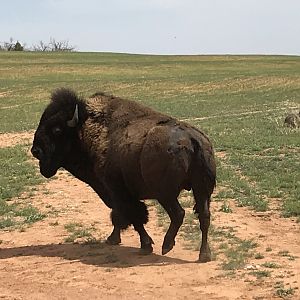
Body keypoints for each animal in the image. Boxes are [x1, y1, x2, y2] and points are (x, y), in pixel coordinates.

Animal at [32, 88, 216, 262]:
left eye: (57, 129)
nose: (35, 150)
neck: (84, 128)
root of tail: (192, 139)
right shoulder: (117, 193)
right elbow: (121, 215)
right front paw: (114, 239)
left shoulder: (117, 191)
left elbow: (131, 216)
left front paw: (144, 245)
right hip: (201, 190)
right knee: (204, 216)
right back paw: (204, 255)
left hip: (165, 194)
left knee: (179, 214)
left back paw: (166, 245)